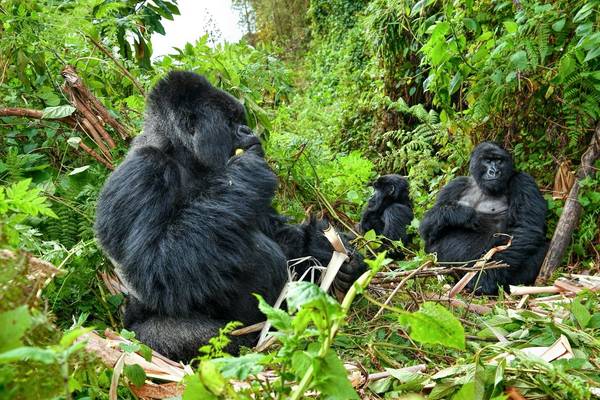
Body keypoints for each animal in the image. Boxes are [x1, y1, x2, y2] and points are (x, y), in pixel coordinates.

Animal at [96, 70, 364, 360]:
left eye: (240, 120)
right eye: (230, 121)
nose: (248, 130)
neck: (182, 153)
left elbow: (279, 233)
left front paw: (332, 251)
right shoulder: (143, 171)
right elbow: (154, 265)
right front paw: (244, 170)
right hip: (137, 340)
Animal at [420, 141, 548, 294]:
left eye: (499, 161)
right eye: (487, 160)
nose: (494, 171)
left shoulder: (524, 181)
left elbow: (525, 229)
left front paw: (485, 277)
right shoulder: (455, 184)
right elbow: (427, 231)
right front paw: (459, 214)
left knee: (541, 247)